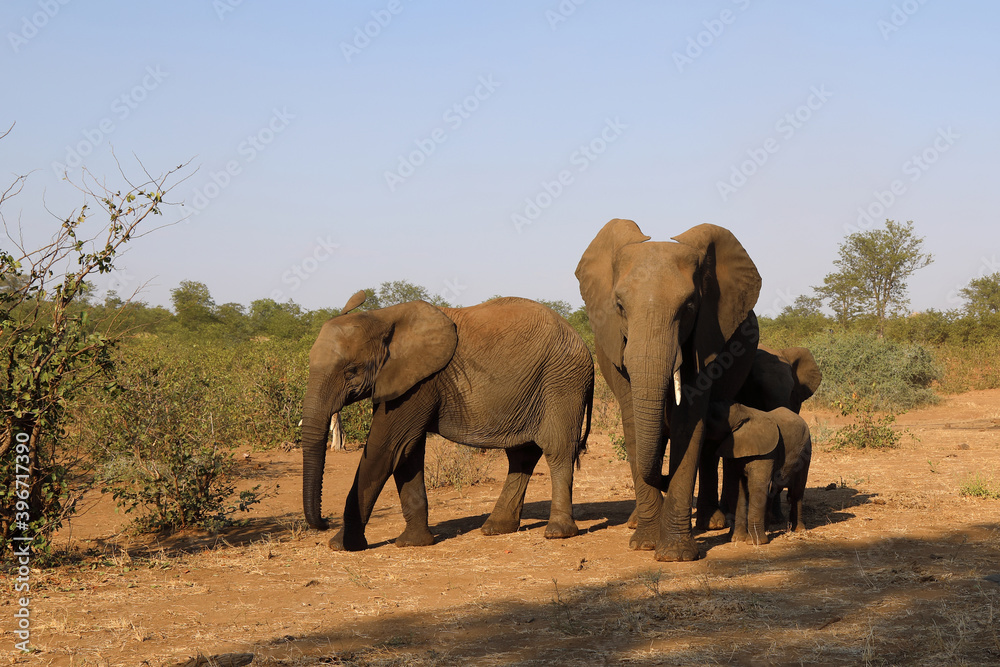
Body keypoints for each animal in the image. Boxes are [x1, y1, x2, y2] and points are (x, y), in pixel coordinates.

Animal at [298, 292, 592, 552]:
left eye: (351, 371)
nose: (324, 522)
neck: (382, 317)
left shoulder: (421, 381)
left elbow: (387, 449)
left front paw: (341, 545)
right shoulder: (403, 381)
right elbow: (406, 453)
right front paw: (413, 543)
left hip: (562, 381)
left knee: (557, 450)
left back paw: (557, 532)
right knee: (521, 455)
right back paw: (496, 528)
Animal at [576, 220, 760, 564]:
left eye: (688, 307)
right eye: (619, 306)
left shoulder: (704, 339)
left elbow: (689, 423)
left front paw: (675, 554)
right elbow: (634, 424)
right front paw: (645, 544)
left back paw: (712, 523)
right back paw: (637, 520)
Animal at [704, 404, 812, 544]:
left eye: (714, 416)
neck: (743, 413)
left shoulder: (766, 453)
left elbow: (757, 487)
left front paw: (755, 543)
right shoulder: (732, 449)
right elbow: (735, 488)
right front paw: (736, 539)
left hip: (805, 451)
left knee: (796, 492)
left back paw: (798, 530)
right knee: (772, 491)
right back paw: (767, 529)